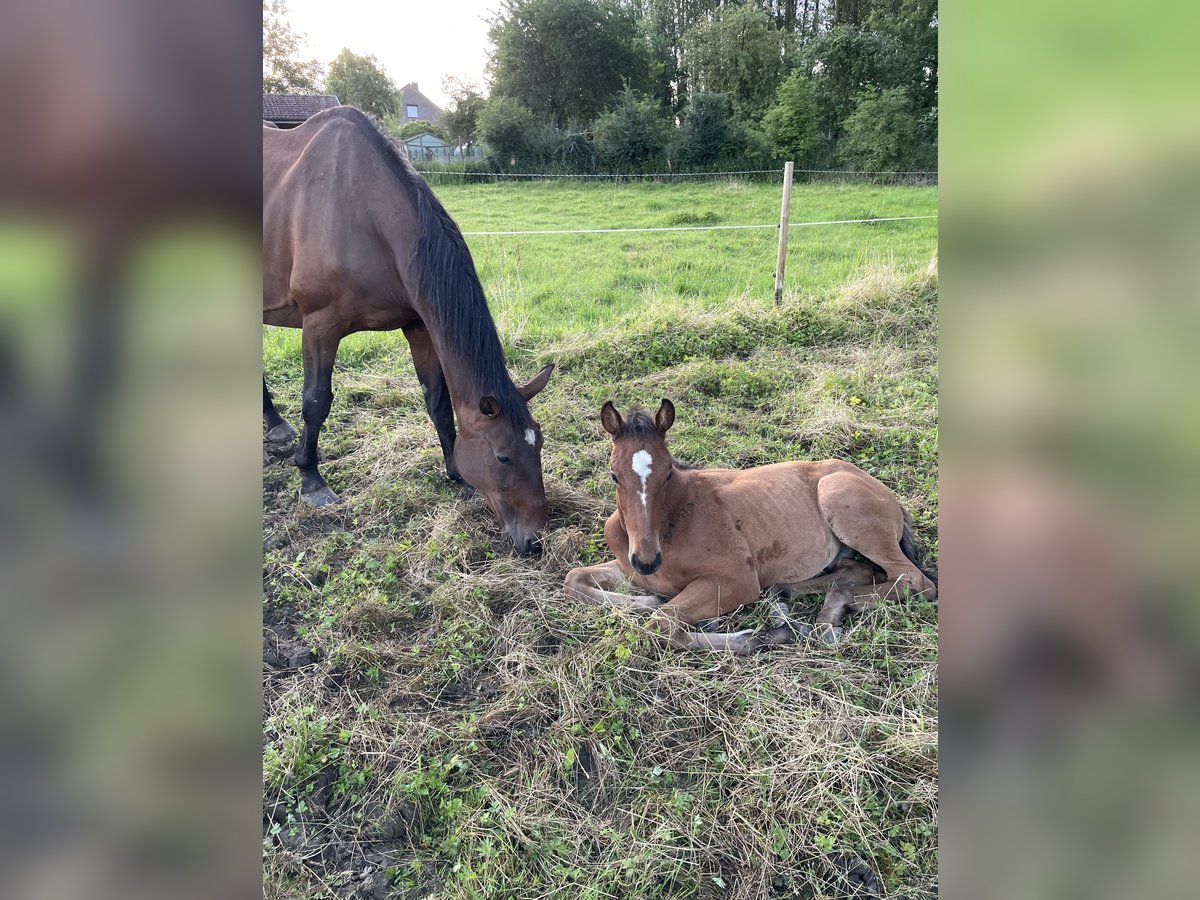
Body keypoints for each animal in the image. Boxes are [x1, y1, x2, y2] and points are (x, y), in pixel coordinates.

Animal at [262, 107, 552, 556]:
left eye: (537, 444)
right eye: (503, 456)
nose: (535, 541)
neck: (361, 211)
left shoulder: (418, 326)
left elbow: (438, 403)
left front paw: (456, 474)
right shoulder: (319, 326)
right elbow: (315, 402)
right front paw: (311, 479)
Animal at [564, 400, 936, 657]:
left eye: (668, 472)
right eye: (614, 475)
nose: (646, 560)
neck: (673, 522)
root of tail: (876, 485)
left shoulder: (737, 581)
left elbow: (662, 625)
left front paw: (761, 636)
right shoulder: (628, 567)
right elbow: (574, 579)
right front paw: (650, 599)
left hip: (844, 507)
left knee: (914, 580)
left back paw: (824, 615)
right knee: (855, 571)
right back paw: (796, 600)